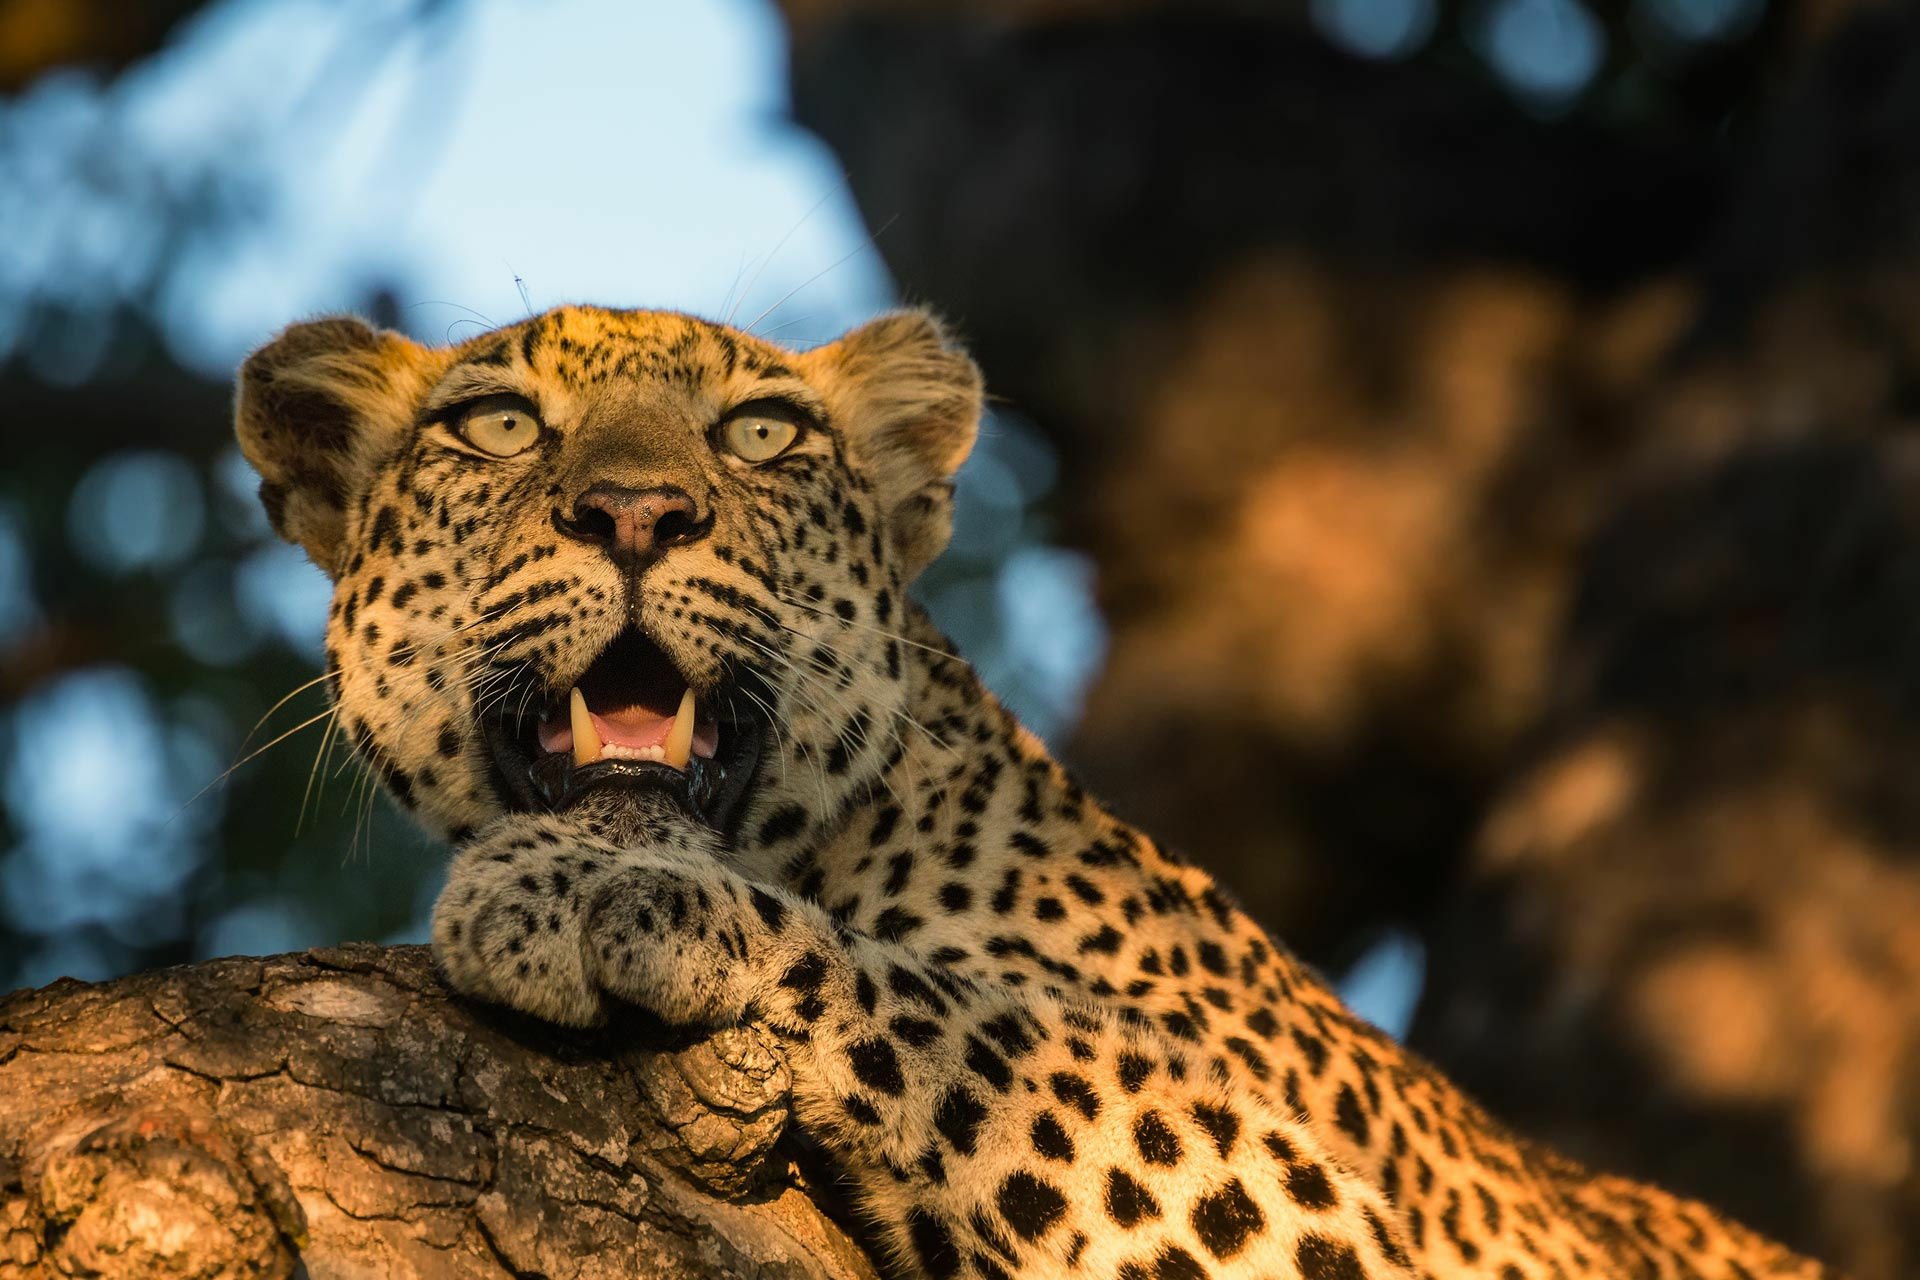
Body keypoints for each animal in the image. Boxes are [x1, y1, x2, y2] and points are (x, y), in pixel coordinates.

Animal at [234, 303, 1830, 1280]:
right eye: (499, 425)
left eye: (762, 432)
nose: (637, 510)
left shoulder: (1322, 1213)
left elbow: (976, 1017)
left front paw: (592, 884)